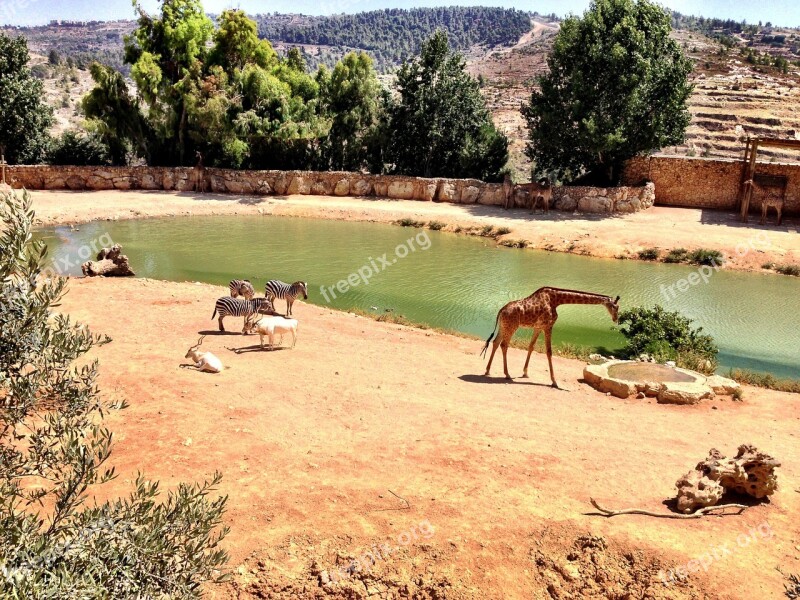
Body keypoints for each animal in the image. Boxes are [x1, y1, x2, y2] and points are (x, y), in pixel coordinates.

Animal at [478, 288, 620, 390]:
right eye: (615, 307)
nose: (616, 319)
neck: (556, 300)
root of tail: (501, 310)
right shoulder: (548, 326)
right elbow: (549, 352)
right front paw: (554, 382)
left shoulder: (538, 327)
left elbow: (531, 346)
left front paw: (525, 373)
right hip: (512, 326)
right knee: (504, 345)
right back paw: (507, 374)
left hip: (504, 326)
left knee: (496, 342)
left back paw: (487, 370)